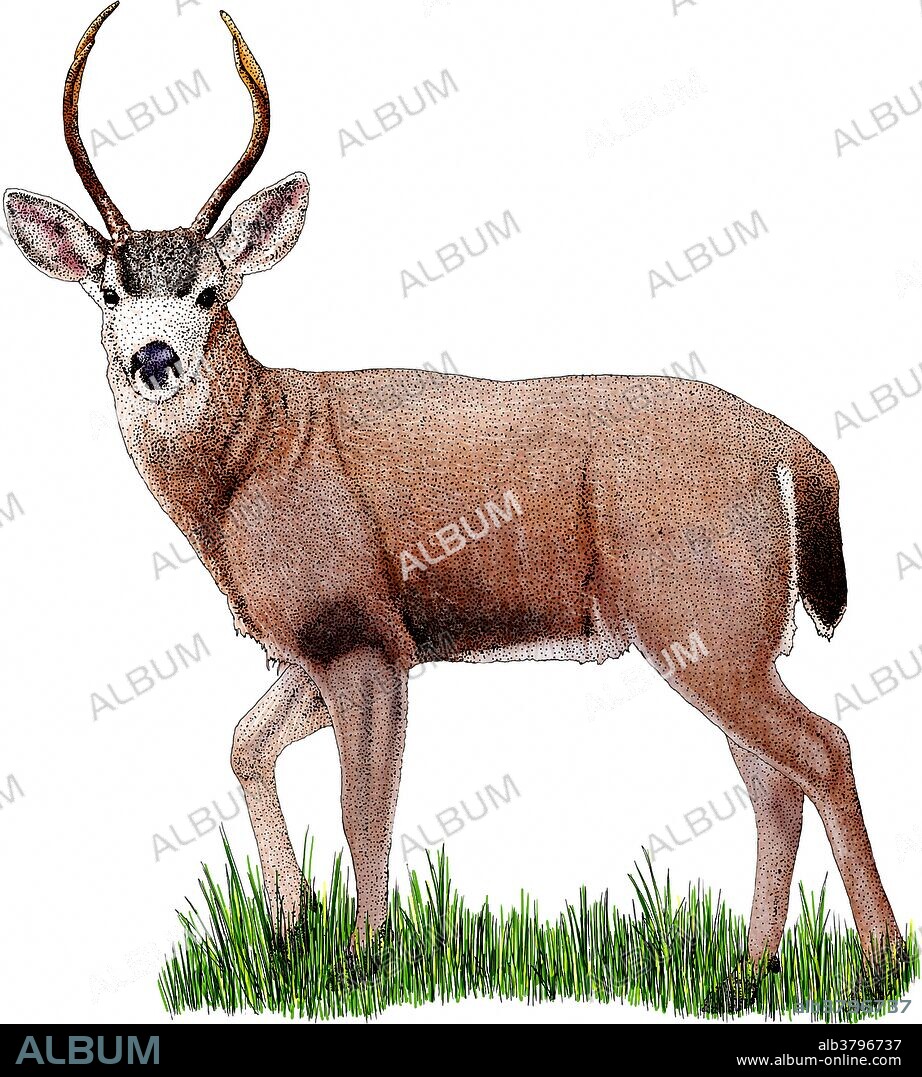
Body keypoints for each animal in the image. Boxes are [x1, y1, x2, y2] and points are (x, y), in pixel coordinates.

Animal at [4, 3, 903, 990]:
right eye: (109, 290)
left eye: (209, 292)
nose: (154, 357)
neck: (257, 455)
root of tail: (792, 447)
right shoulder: (309, 646)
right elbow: (243, 743)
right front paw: (287, 922)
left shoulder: (363, 634)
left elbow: (364, 806)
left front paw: (361, 955)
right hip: (728, 635)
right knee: (774, 779)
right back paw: (750, 968)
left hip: (703, 619)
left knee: (823, 748)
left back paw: (878, 964)